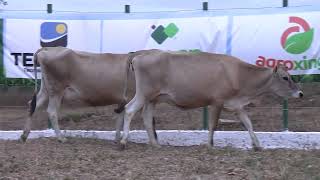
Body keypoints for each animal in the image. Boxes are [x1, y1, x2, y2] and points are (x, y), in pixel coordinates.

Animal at [20, 47, 158, 143]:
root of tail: (47, 48)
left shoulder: (122, 100)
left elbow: (120, 118)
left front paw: (117, 138)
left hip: (46, 89)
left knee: (33, 104)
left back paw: (24, 135)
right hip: (56, 90)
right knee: (51, 111)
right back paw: (61, 138)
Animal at [119, 50, 302, 150]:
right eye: (285, 77)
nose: (300, 93)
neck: (239, 75)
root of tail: (140, 54)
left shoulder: (237, 105)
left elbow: (249, 124)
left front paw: (257, 145)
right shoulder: (217, 102)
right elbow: (213, 125)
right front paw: (210, 145)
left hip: (153, 98)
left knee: (147, 117)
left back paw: (155, 144)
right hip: (143, 93)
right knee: (129, 110)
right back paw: (123, 142)